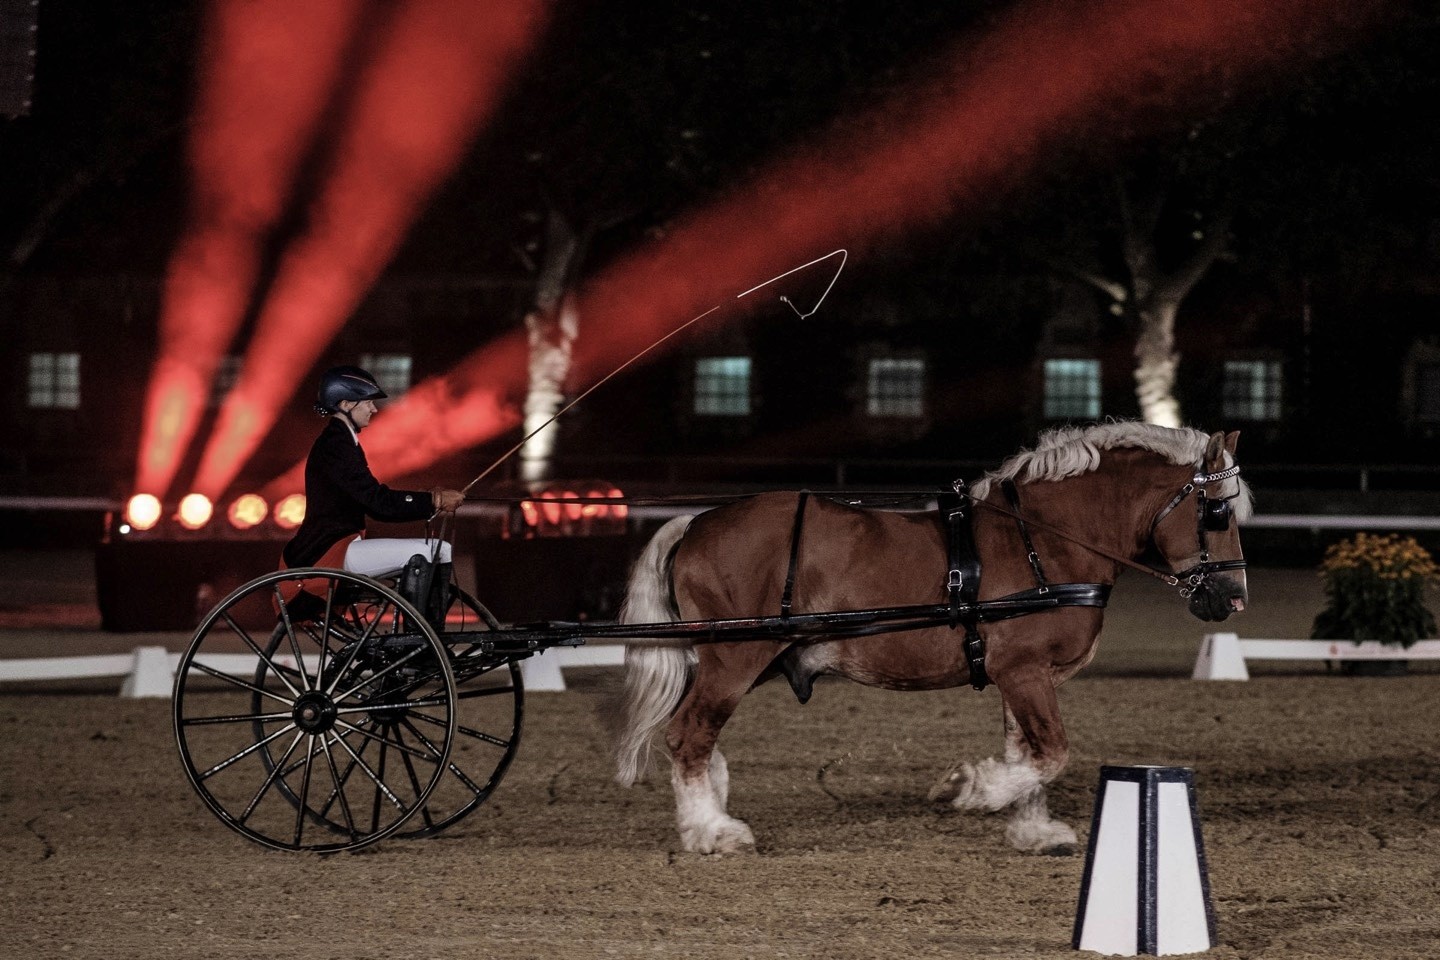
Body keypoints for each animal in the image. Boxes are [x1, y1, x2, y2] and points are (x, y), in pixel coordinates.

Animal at [607, 423, 1249, 852]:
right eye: (1217, 512)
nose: (1233, 598)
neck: (1045, 540)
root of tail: (697, 522)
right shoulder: (1025, 672)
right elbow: (1049, 752)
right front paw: (969, 789)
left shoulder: (1019, 676)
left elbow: (1029, 753)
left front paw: (1033, 829)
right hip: (734, 660)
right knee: (689, 735)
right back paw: (713, 831)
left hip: (743, 661)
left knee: (696, 738)